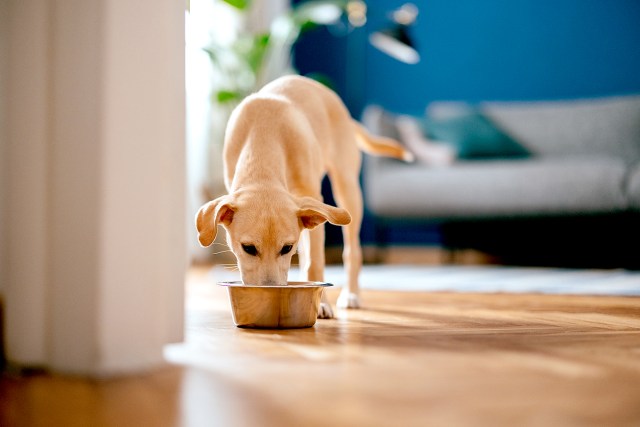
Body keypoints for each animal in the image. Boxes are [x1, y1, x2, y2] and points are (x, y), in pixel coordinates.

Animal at [195, 75, 412, 320]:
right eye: (248, 248)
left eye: (287, 248)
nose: (269, 290)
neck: (263, 138)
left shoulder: (312, 200)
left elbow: (315, 263)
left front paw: (322, 304)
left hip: (347, 188)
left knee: (352, 251)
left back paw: (351, 294)